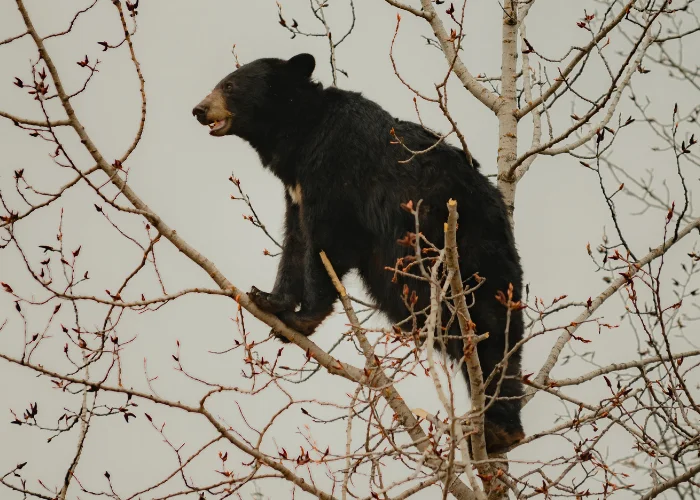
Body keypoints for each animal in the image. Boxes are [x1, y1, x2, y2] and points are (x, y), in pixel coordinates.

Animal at [194, 52, 524, 452]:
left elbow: (328, 239)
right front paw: (271, 299)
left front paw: (303, 317)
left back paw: (500, 425)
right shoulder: (296, 188)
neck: (302, 133)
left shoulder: (337, 164)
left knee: (495, 328)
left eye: (229, 85)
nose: (199, 109)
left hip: (469, 250)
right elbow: (296, 239)